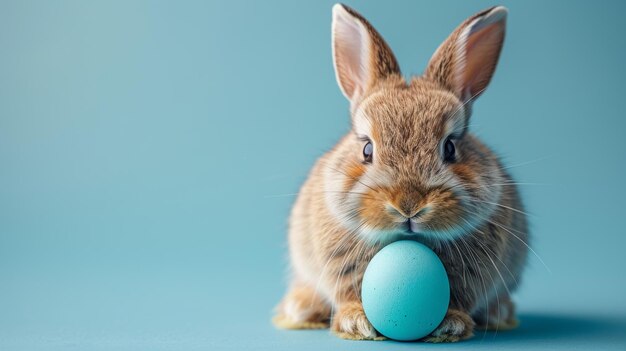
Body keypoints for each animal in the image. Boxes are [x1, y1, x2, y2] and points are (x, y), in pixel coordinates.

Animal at [272, 3, 528, 344]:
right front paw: (356, 323)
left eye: (450, 147)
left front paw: (451, 325)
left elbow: (461, 296)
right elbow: (348, 291)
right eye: (367, 149)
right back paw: (300, 309)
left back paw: (500, 312)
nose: (408, 205)